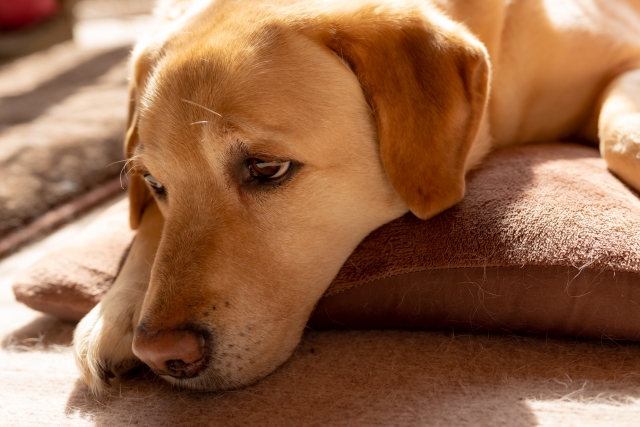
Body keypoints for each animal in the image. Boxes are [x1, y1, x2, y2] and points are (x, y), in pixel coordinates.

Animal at [72, 0, 640, 394]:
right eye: (156, 184)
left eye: (266, 168)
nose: (161, 354)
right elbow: (146, 227)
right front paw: (116, 309)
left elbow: (620, 136)